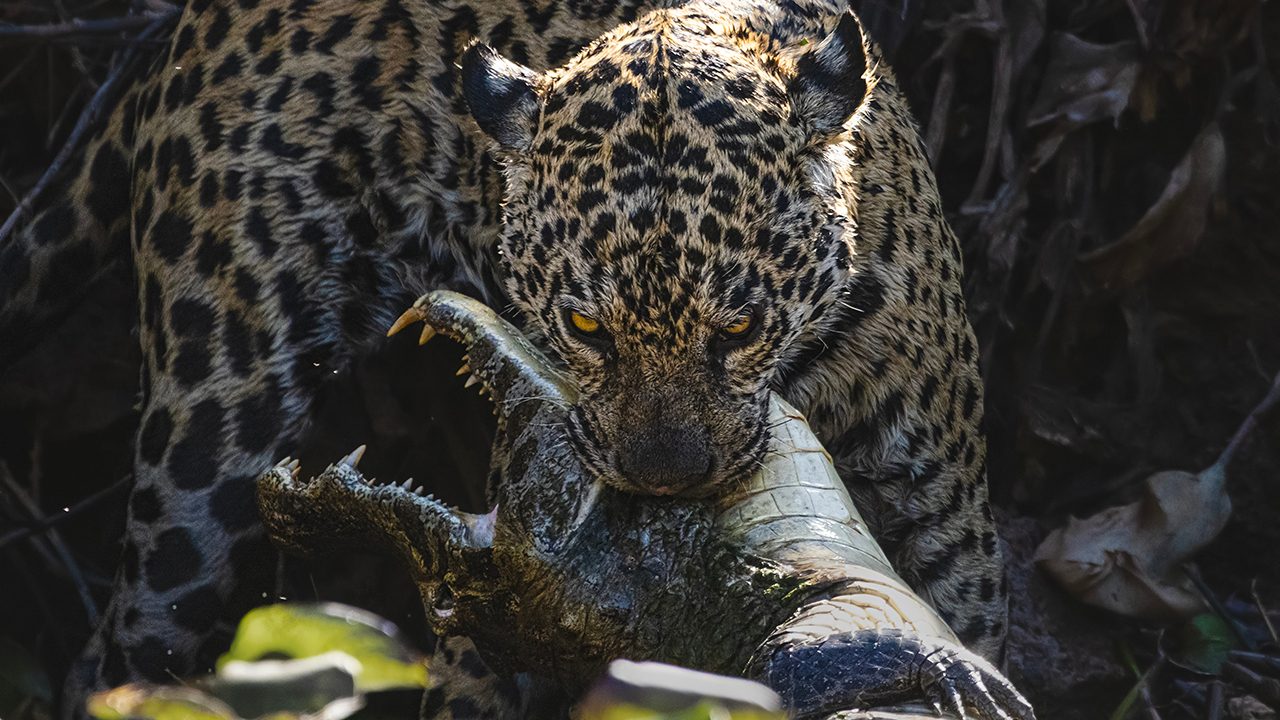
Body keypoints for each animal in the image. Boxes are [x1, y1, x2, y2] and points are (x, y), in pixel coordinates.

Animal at [0, 0, 1006, 715]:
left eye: (738, 329)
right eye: (586, 328)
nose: (666, 481)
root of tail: (195, 23)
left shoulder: (948, 528)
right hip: (208, 434)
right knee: (133, 642)